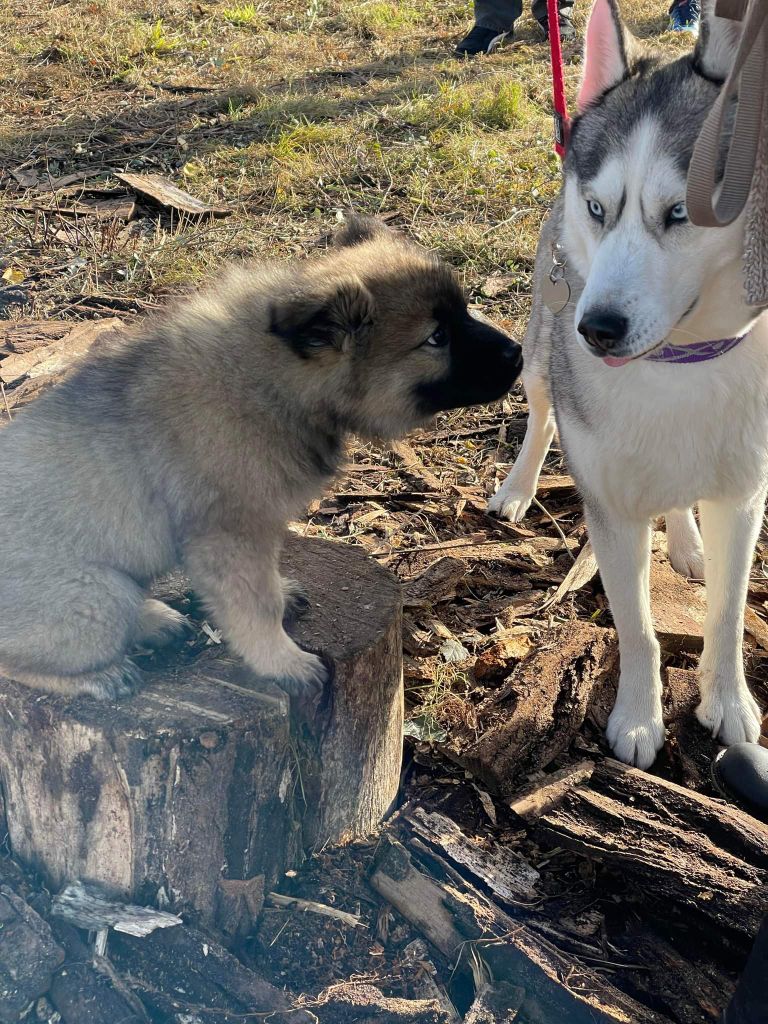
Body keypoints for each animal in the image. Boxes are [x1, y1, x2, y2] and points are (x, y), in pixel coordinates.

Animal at [0, 215, 524, 696]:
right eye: (437, 338)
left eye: (462, 315)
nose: (518, 353)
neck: (275, 380)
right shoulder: (232, 535)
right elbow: (255, 606)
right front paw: (283, 662)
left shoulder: (260, 528)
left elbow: (268, 583)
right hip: (98, 595)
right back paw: (101, 675)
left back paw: (153, 618)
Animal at [493, 0, 768, 770]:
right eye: (597, 208)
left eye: (680, 213)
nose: (599, 329)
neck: (679, 367)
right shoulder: (610, 509)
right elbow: (638, 626)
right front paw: (638, 719)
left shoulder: (745, 497)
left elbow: (728, 613)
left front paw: (728, 703)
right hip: (540, 346)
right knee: (541, 413)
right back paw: (519, 487)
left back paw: (686, 543)